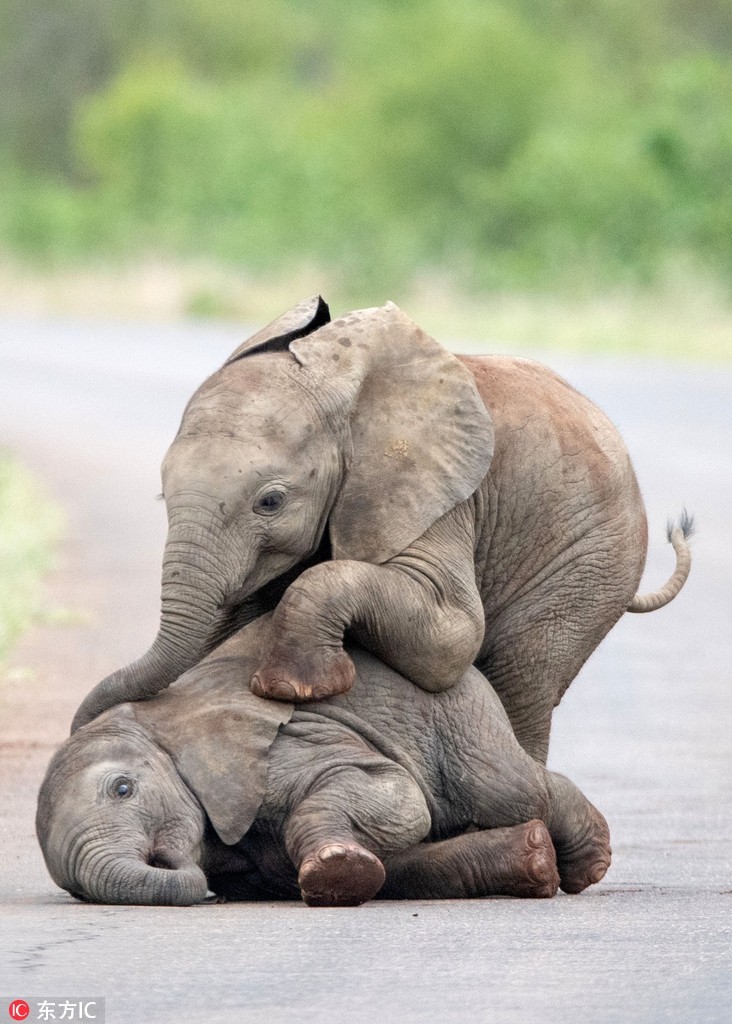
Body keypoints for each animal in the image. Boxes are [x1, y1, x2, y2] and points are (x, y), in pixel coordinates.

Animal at [38, 618, 614, 909]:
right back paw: (536, 861)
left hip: (457, 712)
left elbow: (394, 792)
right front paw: (342, 873)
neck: (160, 721)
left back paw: (589, 861)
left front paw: (335, 868)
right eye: (76, 892)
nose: (171, 863)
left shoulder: (284, 743)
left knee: (509, 788)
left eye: (122, 789)